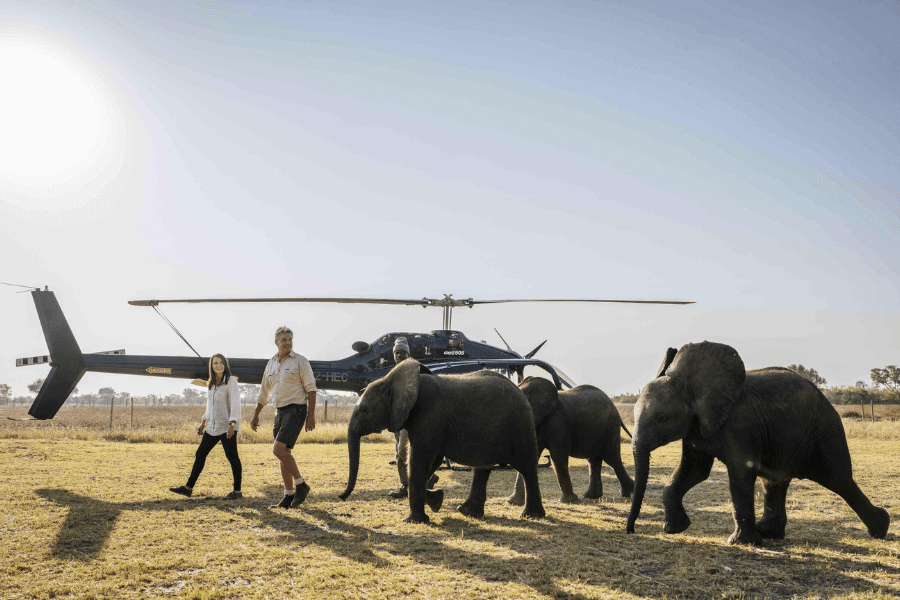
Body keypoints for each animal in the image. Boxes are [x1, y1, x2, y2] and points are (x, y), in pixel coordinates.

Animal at [339, 358, 546, 523]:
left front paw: (414, 520)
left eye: (364, 410)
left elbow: (419, 460)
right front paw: (436, 499)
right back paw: (467, 512)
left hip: (520, 424)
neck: (391, 379)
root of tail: (520, 390)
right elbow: (432, 462)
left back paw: (531, 516)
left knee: (527, 467)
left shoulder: (429, 415)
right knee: (483, 468)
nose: (341, 497)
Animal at [503, 376, 634, 505]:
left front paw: (569, 501)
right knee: (594, 460)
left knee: (612, 458)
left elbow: (558, 456)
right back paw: (591, 496)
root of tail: (614, 406)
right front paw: (513, 501)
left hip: (610, 427)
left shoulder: (557, 421)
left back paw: (629, 493)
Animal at [626, 341, 890, 545]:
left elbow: (740, 473)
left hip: (825, 431)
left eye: (661, 418)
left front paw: (740, 543)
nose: (631, 530)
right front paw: (674, 529)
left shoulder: (739, 424)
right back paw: (769, 534)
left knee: (840, 480)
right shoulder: (697, 425)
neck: (689, 383)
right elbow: (694, 471)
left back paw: (881, 528)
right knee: (774, 482)